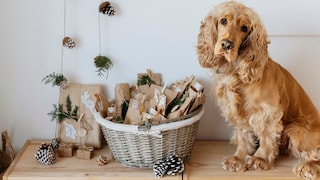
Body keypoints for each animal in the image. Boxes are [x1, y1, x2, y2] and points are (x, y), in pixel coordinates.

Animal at [196, 1, 320, 179]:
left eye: (244, 28)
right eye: (223, 20)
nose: (226, 45)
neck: (235, 72)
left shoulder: (267, 112)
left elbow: (267, 137)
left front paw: (260, 159)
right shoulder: (236, 111)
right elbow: (243, 136)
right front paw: (238, 159)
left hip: (295, 129)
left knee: (315, 153)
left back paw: (308, 167)